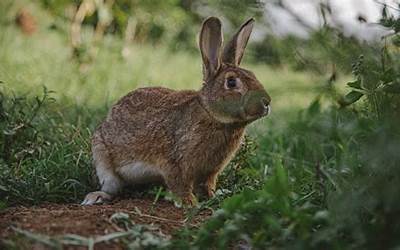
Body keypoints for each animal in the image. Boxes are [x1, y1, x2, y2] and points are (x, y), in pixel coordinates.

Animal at [81, 16, 272, 206]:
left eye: (253, 75)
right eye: (231, 82)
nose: (267, 102)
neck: (211, 114)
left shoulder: (210, 172)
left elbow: (207, 185)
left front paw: (212, 197)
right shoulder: (173, 163)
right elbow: (179, 184)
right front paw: (189, 202)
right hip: (102, 157)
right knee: (111, 186)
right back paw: (96, 197)